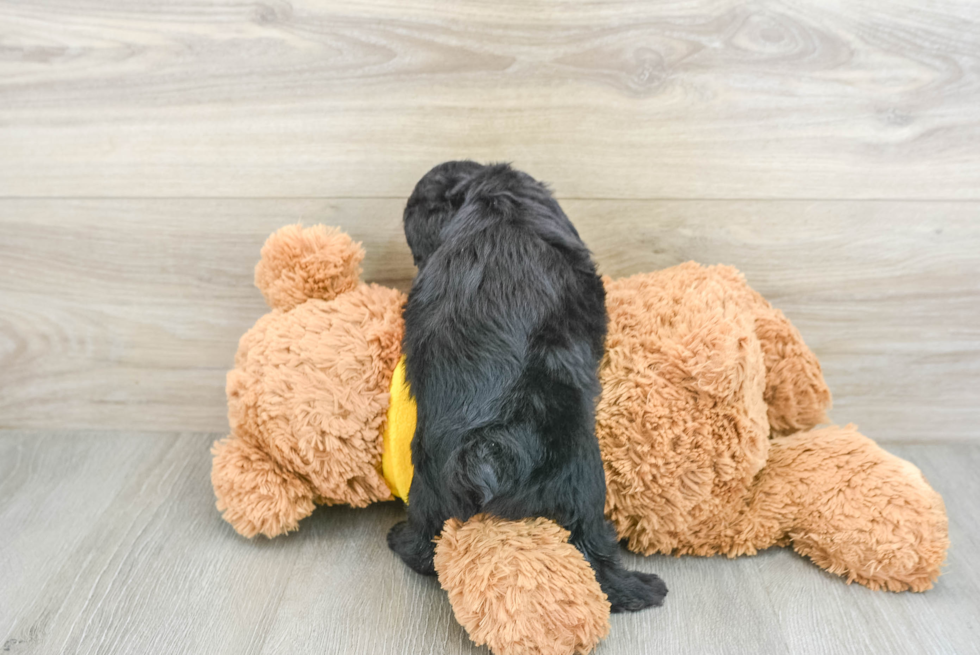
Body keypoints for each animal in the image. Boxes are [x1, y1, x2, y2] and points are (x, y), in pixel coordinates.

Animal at [386, 161, 668, 612]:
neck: (493, 196)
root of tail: (485, 448)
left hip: (429, 485)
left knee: (426, 543)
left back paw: (402, 539)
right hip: (584, 482)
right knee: (594, 553)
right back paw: (640, 588)